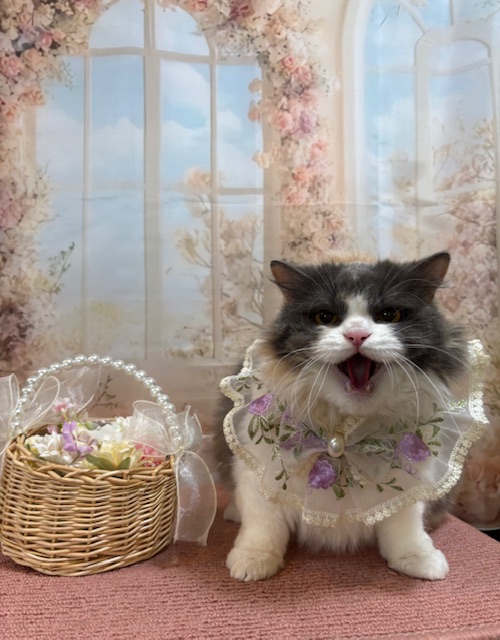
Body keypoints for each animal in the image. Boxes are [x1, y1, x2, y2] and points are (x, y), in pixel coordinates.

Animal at [215, 251, 469, 582]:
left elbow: (406, 528)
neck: (343, 433)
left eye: (389, 315)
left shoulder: (409, 482)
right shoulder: (258, 474)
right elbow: (263, 527)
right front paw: (253, 561)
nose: (357, 335)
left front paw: (418, 560)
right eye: (326, 318)